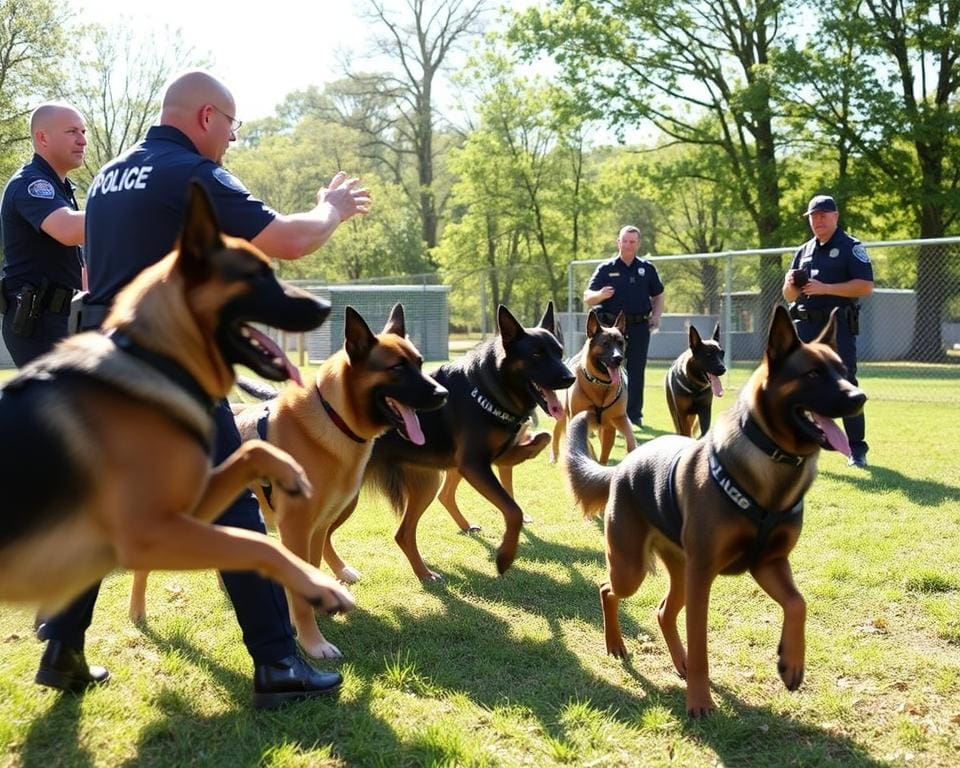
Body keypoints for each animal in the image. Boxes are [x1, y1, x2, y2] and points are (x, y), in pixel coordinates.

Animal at [548, 308, 636, 464]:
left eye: (620, 343)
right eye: (605, 344)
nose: (618, 358)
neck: (600, 384)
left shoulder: (617, 419)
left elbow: (628, 435)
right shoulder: (577, 419)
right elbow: (586, 443)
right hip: (562, 413)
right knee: (557, 431)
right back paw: (554, 456)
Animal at [564, 308, 872, 716]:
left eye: (843, 371)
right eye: (812, 374)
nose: (860, 396)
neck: (772, 467)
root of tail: (622, 467)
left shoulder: (768, 563)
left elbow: (798, 603)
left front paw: (791, 661)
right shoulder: (703, 577)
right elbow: (701, 647)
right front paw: (700, 702)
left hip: (679, 572)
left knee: (663, 611)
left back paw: (676, 660)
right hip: (633, 567)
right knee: (607, 589)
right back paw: (616, 644)